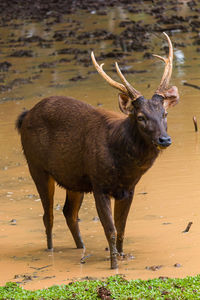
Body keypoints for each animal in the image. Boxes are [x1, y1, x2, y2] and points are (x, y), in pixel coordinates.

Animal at [16, 32, 179, 270]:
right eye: (140, 117)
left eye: (164, 114)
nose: (164, 139)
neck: (123, 166)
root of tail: (24, 117)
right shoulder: (99, 184)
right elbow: (110, 229)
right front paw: (114, 266)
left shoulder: (128, 189)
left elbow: (121, 228)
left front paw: (122, 256)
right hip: (36, 166)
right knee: (48, 215)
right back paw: (51, 250)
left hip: (73, 178)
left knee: (69, 212)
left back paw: (80, 248)